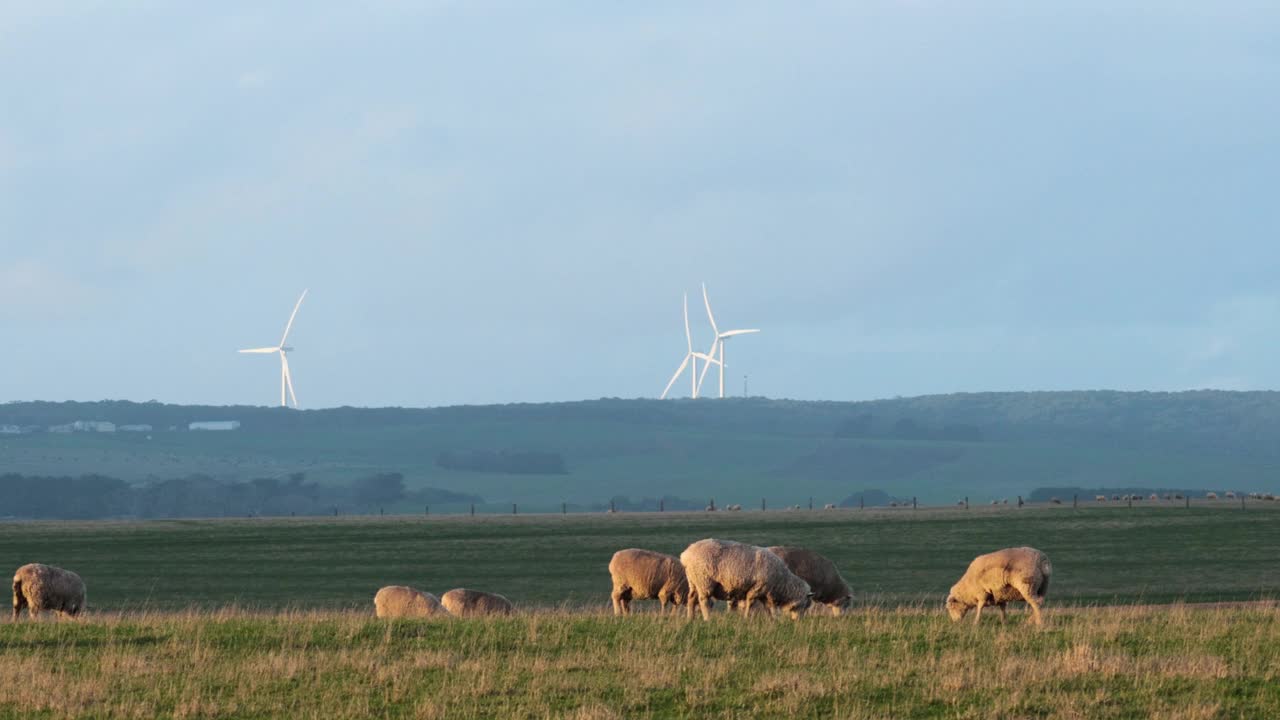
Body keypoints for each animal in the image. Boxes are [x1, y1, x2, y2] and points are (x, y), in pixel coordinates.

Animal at [680, 535, 808, 620]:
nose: (798, 621)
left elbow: (768, 607)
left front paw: (773, 620)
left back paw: (690, 618)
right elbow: (750, 603)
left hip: (693, 581)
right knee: (703, 600)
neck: (781, 581)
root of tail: (686, 555)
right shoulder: (757, 589)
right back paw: (707, 618)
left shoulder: (764, 592)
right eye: (804, 604)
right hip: (704, 580)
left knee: (691, 598)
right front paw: (746, 617)